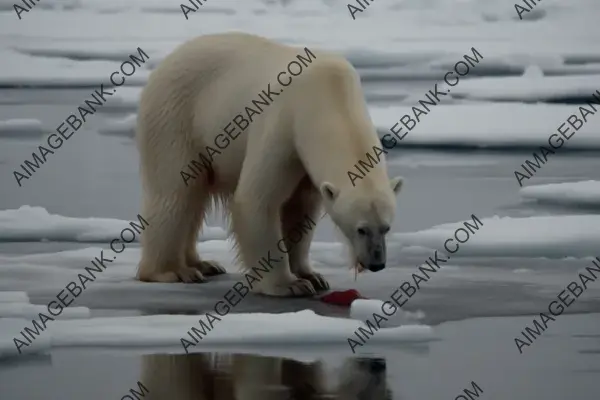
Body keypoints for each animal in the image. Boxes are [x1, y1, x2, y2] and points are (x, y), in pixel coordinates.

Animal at [136, 32, 404, 296]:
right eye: (361, 229)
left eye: (386, 227)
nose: (377, 263)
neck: (329, 94)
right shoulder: (283, 126)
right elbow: (257, 201)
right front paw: (289, 284)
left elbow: (300, 208)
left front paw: (312, 276)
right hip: (176, 118)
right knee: (177, 192)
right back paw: (172, 271)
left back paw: (203, 264)